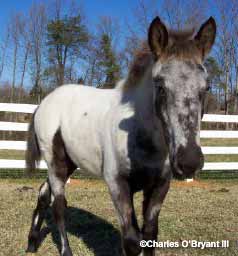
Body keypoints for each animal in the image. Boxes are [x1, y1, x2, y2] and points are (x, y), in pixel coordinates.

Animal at [25, 16, 216, 256]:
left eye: (206, 87)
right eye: (160, 86)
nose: (189, 161)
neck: (141, 136)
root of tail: (43, 103)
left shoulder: (160, 185)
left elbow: (149, 235)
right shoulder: (116, 183)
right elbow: (132, 240)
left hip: (69, 162)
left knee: (43, 194)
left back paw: (32, 243)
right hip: (55, 162)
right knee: (59, 206)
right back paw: (65, 251)